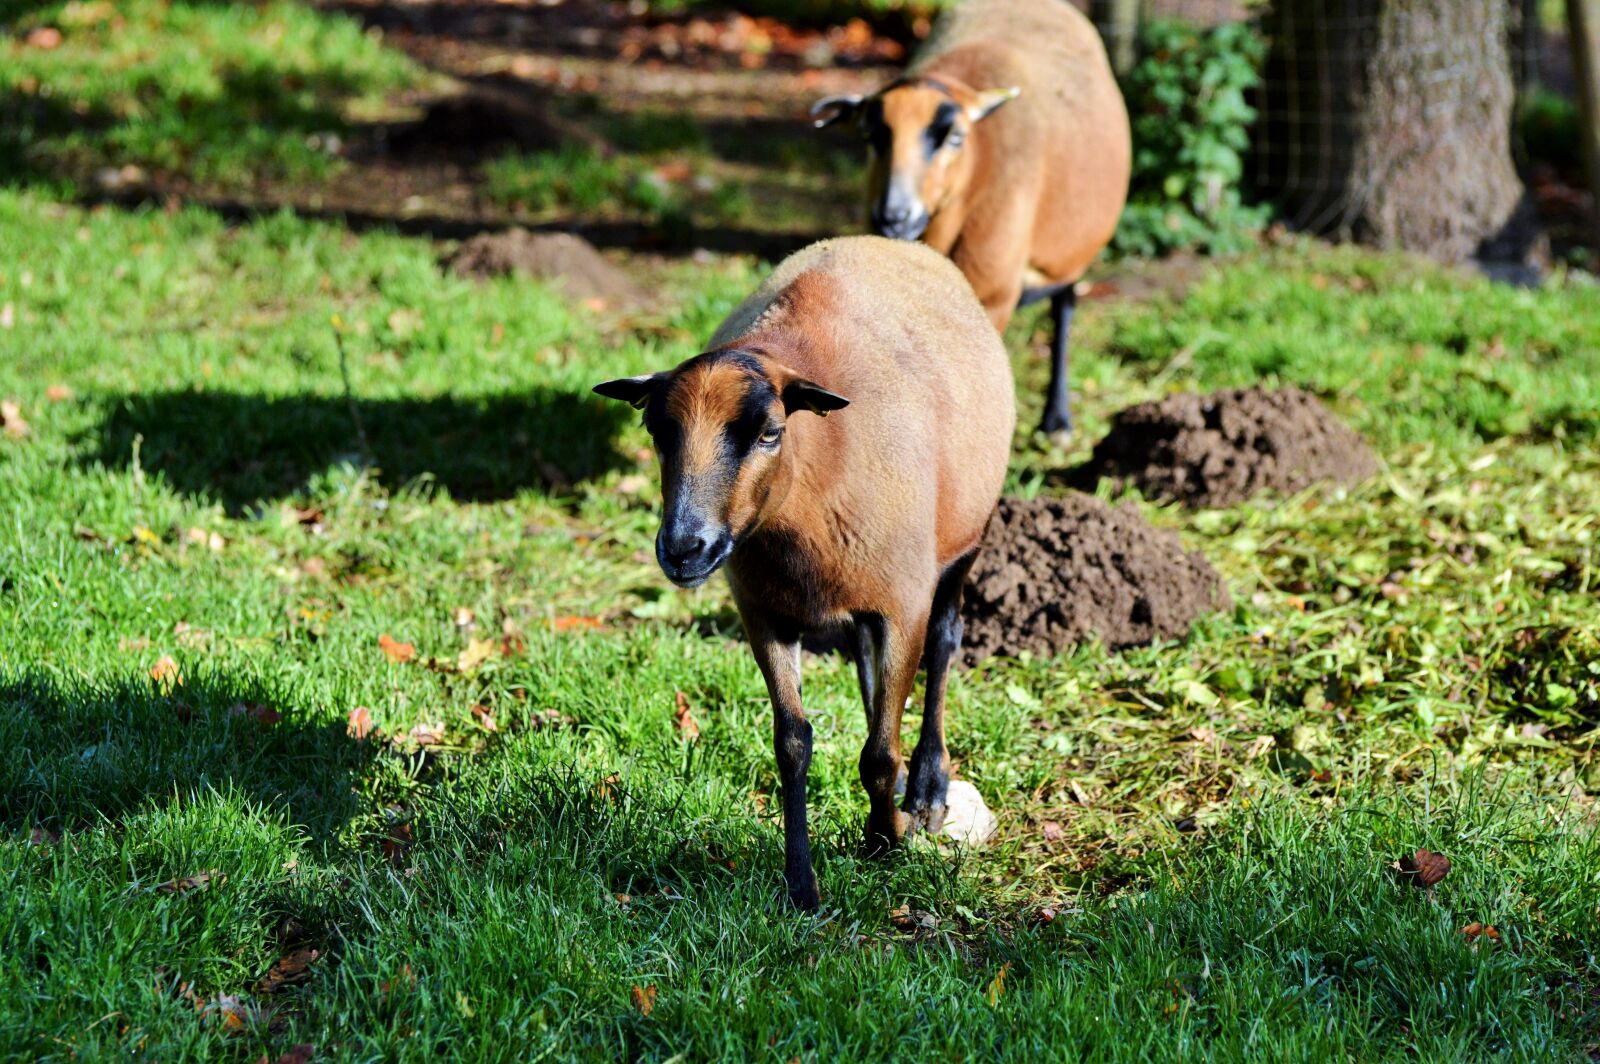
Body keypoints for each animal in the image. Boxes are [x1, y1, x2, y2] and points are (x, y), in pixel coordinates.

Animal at [594, 236, 1015, 910]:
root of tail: (890, 243)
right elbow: (792, 742)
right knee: (869, 665)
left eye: (770, 432)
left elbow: (879, 753)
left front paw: (885, 842)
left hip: (964, 541)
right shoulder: (765, 612)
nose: (684, 549)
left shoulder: (903, 602)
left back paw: (927, 784)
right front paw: (801, 883)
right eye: (657, 432)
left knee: (945, 645)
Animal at [811, 0, 1130, 442]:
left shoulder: (992, 293)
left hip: (1067, 253)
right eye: (870, 137)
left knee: (1064, 304)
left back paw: (1056, 420)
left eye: (955, 137)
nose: (894, 217)